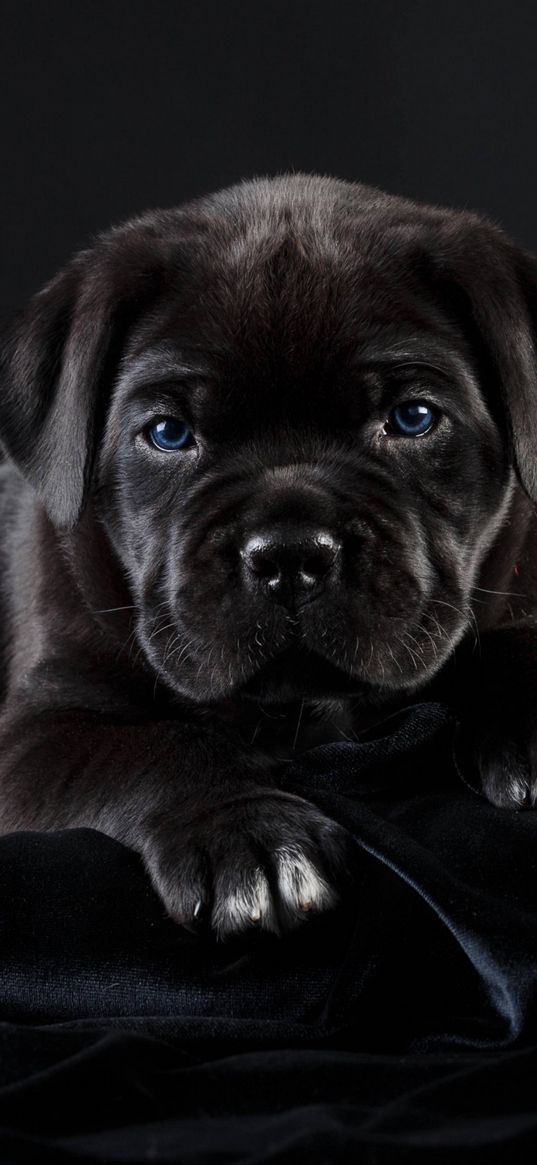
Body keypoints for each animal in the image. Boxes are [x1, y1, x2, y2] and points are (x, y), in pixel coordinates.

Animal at [1, 174, 535, 936]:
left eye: (413, 419)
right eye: (168, 433)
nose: (290, 554)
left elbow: (512, 639)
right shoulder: (35, 734)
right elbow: (149, 746)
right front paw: (245, 831)